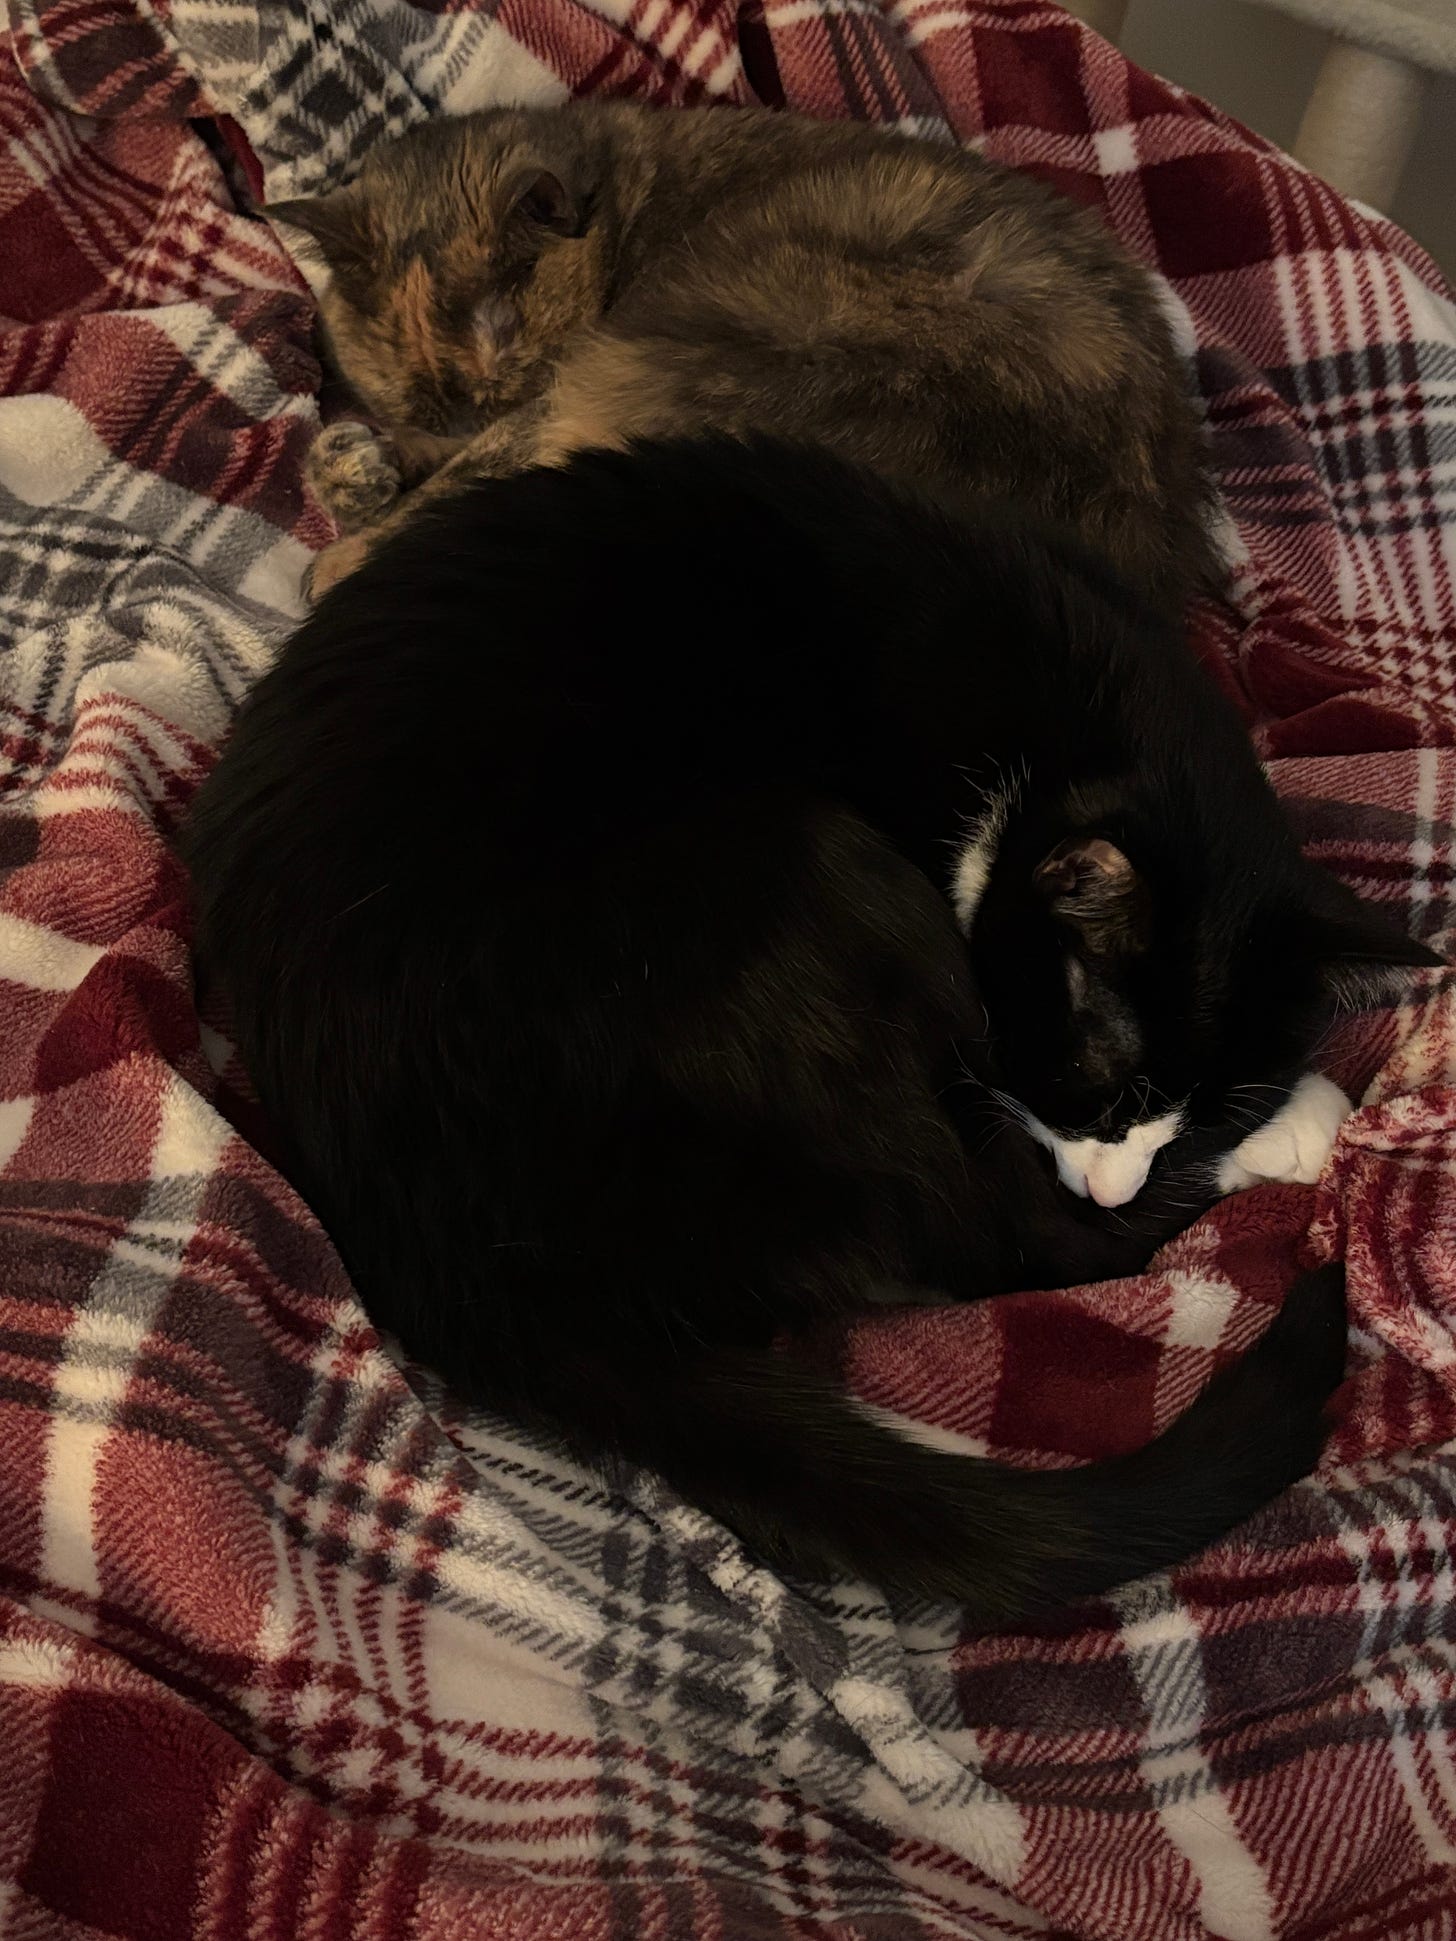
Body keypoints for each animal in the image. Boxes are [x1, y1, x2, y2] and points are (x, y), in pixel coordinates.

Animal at [185, 440, 1436, 1622]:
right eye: (1102, 1090)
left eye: (1190, 1115)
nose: (1117, 1177)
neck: (1054, 720)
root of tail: (462, 1274)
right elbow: (1042, 1225)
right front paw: (1288, 1124)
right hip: (805, 874)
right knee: (999, 1244)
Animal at [271, 98, 1219, 609]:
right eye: (417, 392)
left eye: (505, 347)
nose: (465, 417)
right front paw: (354, 463)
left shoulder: (547, 398)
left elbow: (461, 477)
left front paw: (349, 532)